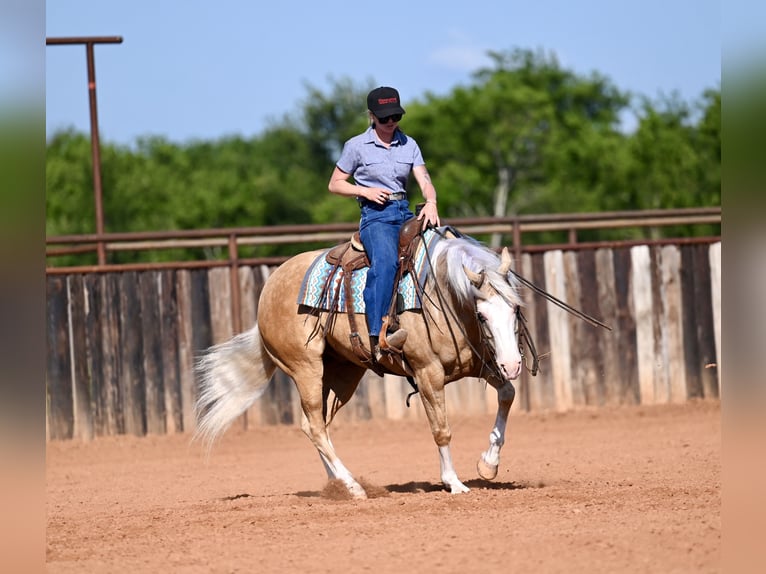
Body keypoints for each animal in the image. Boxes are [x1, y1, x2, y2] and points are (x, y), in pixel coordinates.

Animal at [194, 230, 525, 498]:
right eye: (482, 314)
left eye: (516, 309)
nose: (513, 365)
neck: (440, 295)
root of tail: (268, 290)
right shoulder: (427, 373)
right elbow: (441, 429)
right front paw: (454, 483)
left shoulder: (480, 365)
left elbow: (507, 395)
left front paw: (488, 465)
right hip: (306, 368)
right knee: (315, 427)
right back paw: (353, 487)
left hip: (342, 374)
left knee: (314, 425)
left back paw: (338, 484)